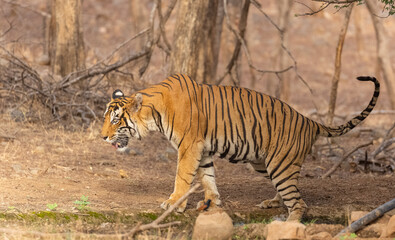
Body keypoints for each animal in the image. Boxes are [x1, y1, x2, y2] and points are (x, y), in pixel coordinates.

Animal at [101, 73, 380, 221]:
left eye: (115, 120)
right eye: (106, 117)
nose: (103, 137)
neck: (154, 113)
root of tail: (309, 120)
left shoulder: (189, 146)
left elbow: (183, 176)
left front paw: (173, 204)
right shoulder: (202, 149)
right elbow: (207, 177)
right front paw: (212, 203)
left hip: (280, 164)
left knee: (299, 203)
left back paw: (290, 223)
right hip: (265, 163)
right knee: (290, 192)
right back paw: (272, 203)